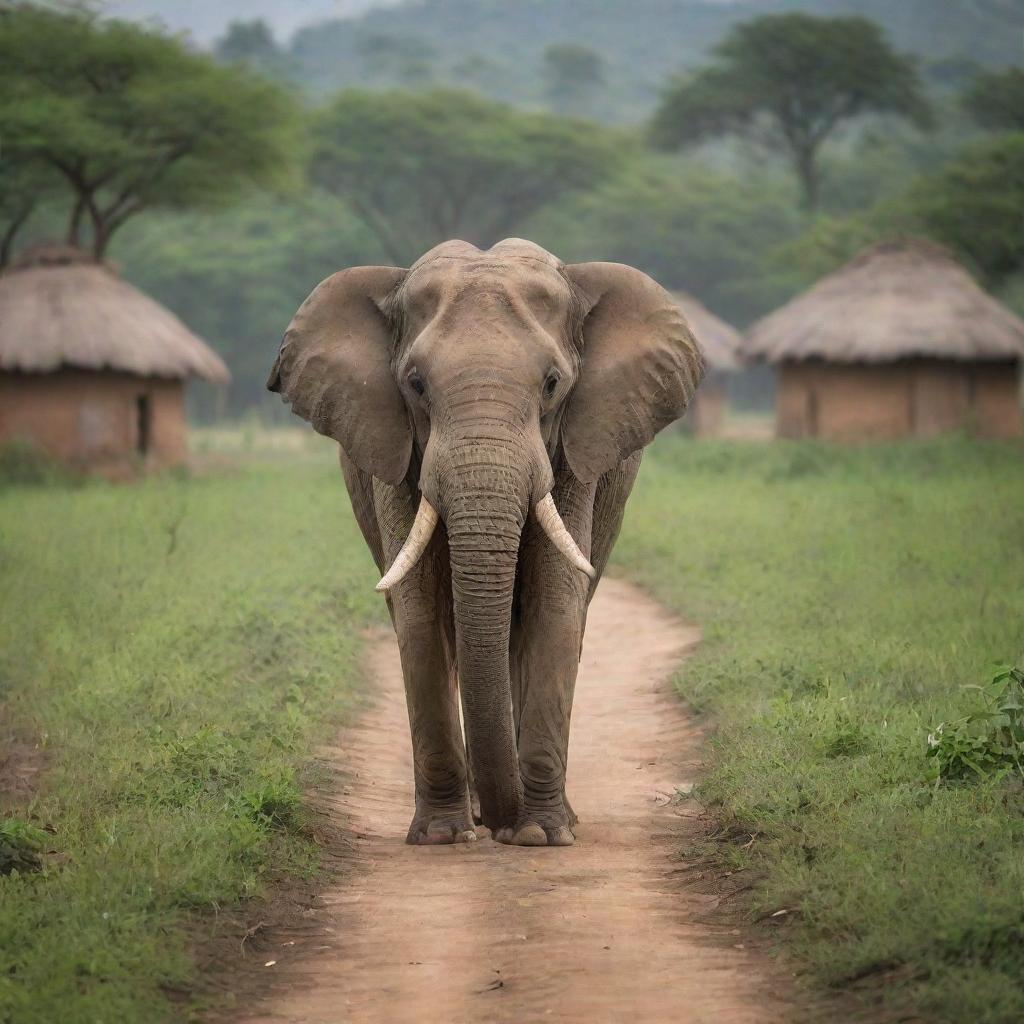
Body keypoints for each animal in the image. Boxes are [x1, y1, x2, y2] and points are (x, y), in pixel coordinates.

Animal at [268, 237, 704, 847]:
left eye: (553, 384)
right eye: (415, 384)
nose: (502, 823)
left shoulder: (576, 452)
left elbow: (555, 603)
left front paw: (541, 835)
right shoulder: (393, 451)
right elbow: (420, 612)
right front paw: (442, 837)